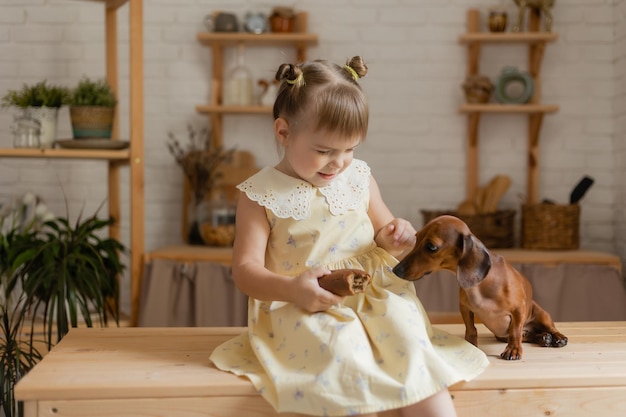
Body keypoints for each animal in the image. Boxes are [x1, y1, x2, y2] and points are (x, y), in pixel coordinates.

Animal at [394, 214, 564, 358]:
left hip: (541, 313)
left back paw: (557, 337)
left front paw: (513, 350)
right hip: (504, 335)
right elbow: (471, 329)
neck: (483, 283)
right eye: (416, 238)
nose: (396, 270)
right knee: (530, 335)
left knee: (548, 328)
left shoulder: (518, 310)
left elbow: (515, 331)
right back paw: (543, 338)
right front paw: (471, 345)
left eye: (431, 246)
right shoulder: (465, 307)